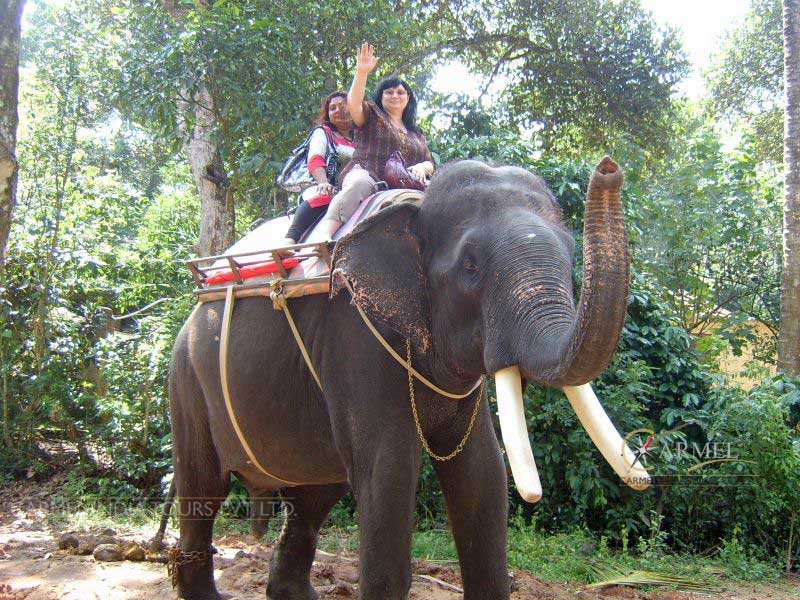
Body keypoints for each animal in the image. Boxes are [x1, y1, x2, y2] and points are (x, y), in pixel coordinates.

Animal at [169, 156, 648, 600]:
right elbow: (391, 467)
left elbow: (482, 470)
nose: (608, 168)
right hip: (187, 379)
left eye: (571, 257)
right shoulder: (355, 332)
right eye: (470, 265)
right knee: (203, 486)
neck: (412, 210)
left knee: (314, 496)